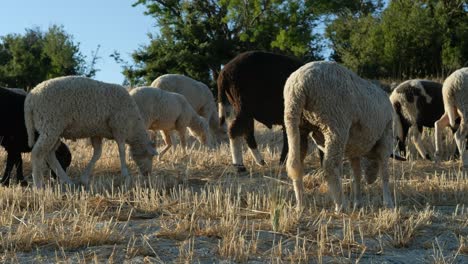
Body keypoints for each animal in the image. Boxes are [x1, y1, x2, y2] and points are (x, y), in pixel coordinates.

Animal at [24, 75, 157, 189]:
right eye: (151, 156)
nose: (147, 174)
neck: (134, 127)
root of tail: (30, 99)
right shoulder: (119, 127)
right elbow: (122, 151)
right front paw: (126, 176)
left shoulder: (96, 132)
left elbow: (97, 153)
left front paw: (84, 178)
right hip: (50, 125)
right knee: (37, 153)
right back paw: (38, 185)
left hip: (54, 130)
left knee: (49, 155)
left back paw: (68, 181)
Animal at [284, 60, 394, 211]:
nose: (370, 180)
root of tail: (299, 85)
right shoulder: (386, 136)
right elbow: (385, 172)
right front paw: (388, 202)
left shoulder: (355, 149)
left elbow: (356, 175)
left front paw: (358, 201)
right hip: (336, 123)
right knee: (331, 166)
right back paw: (341, 206)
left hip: (296, 123)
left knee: (295, 164)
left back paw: (301, 204)